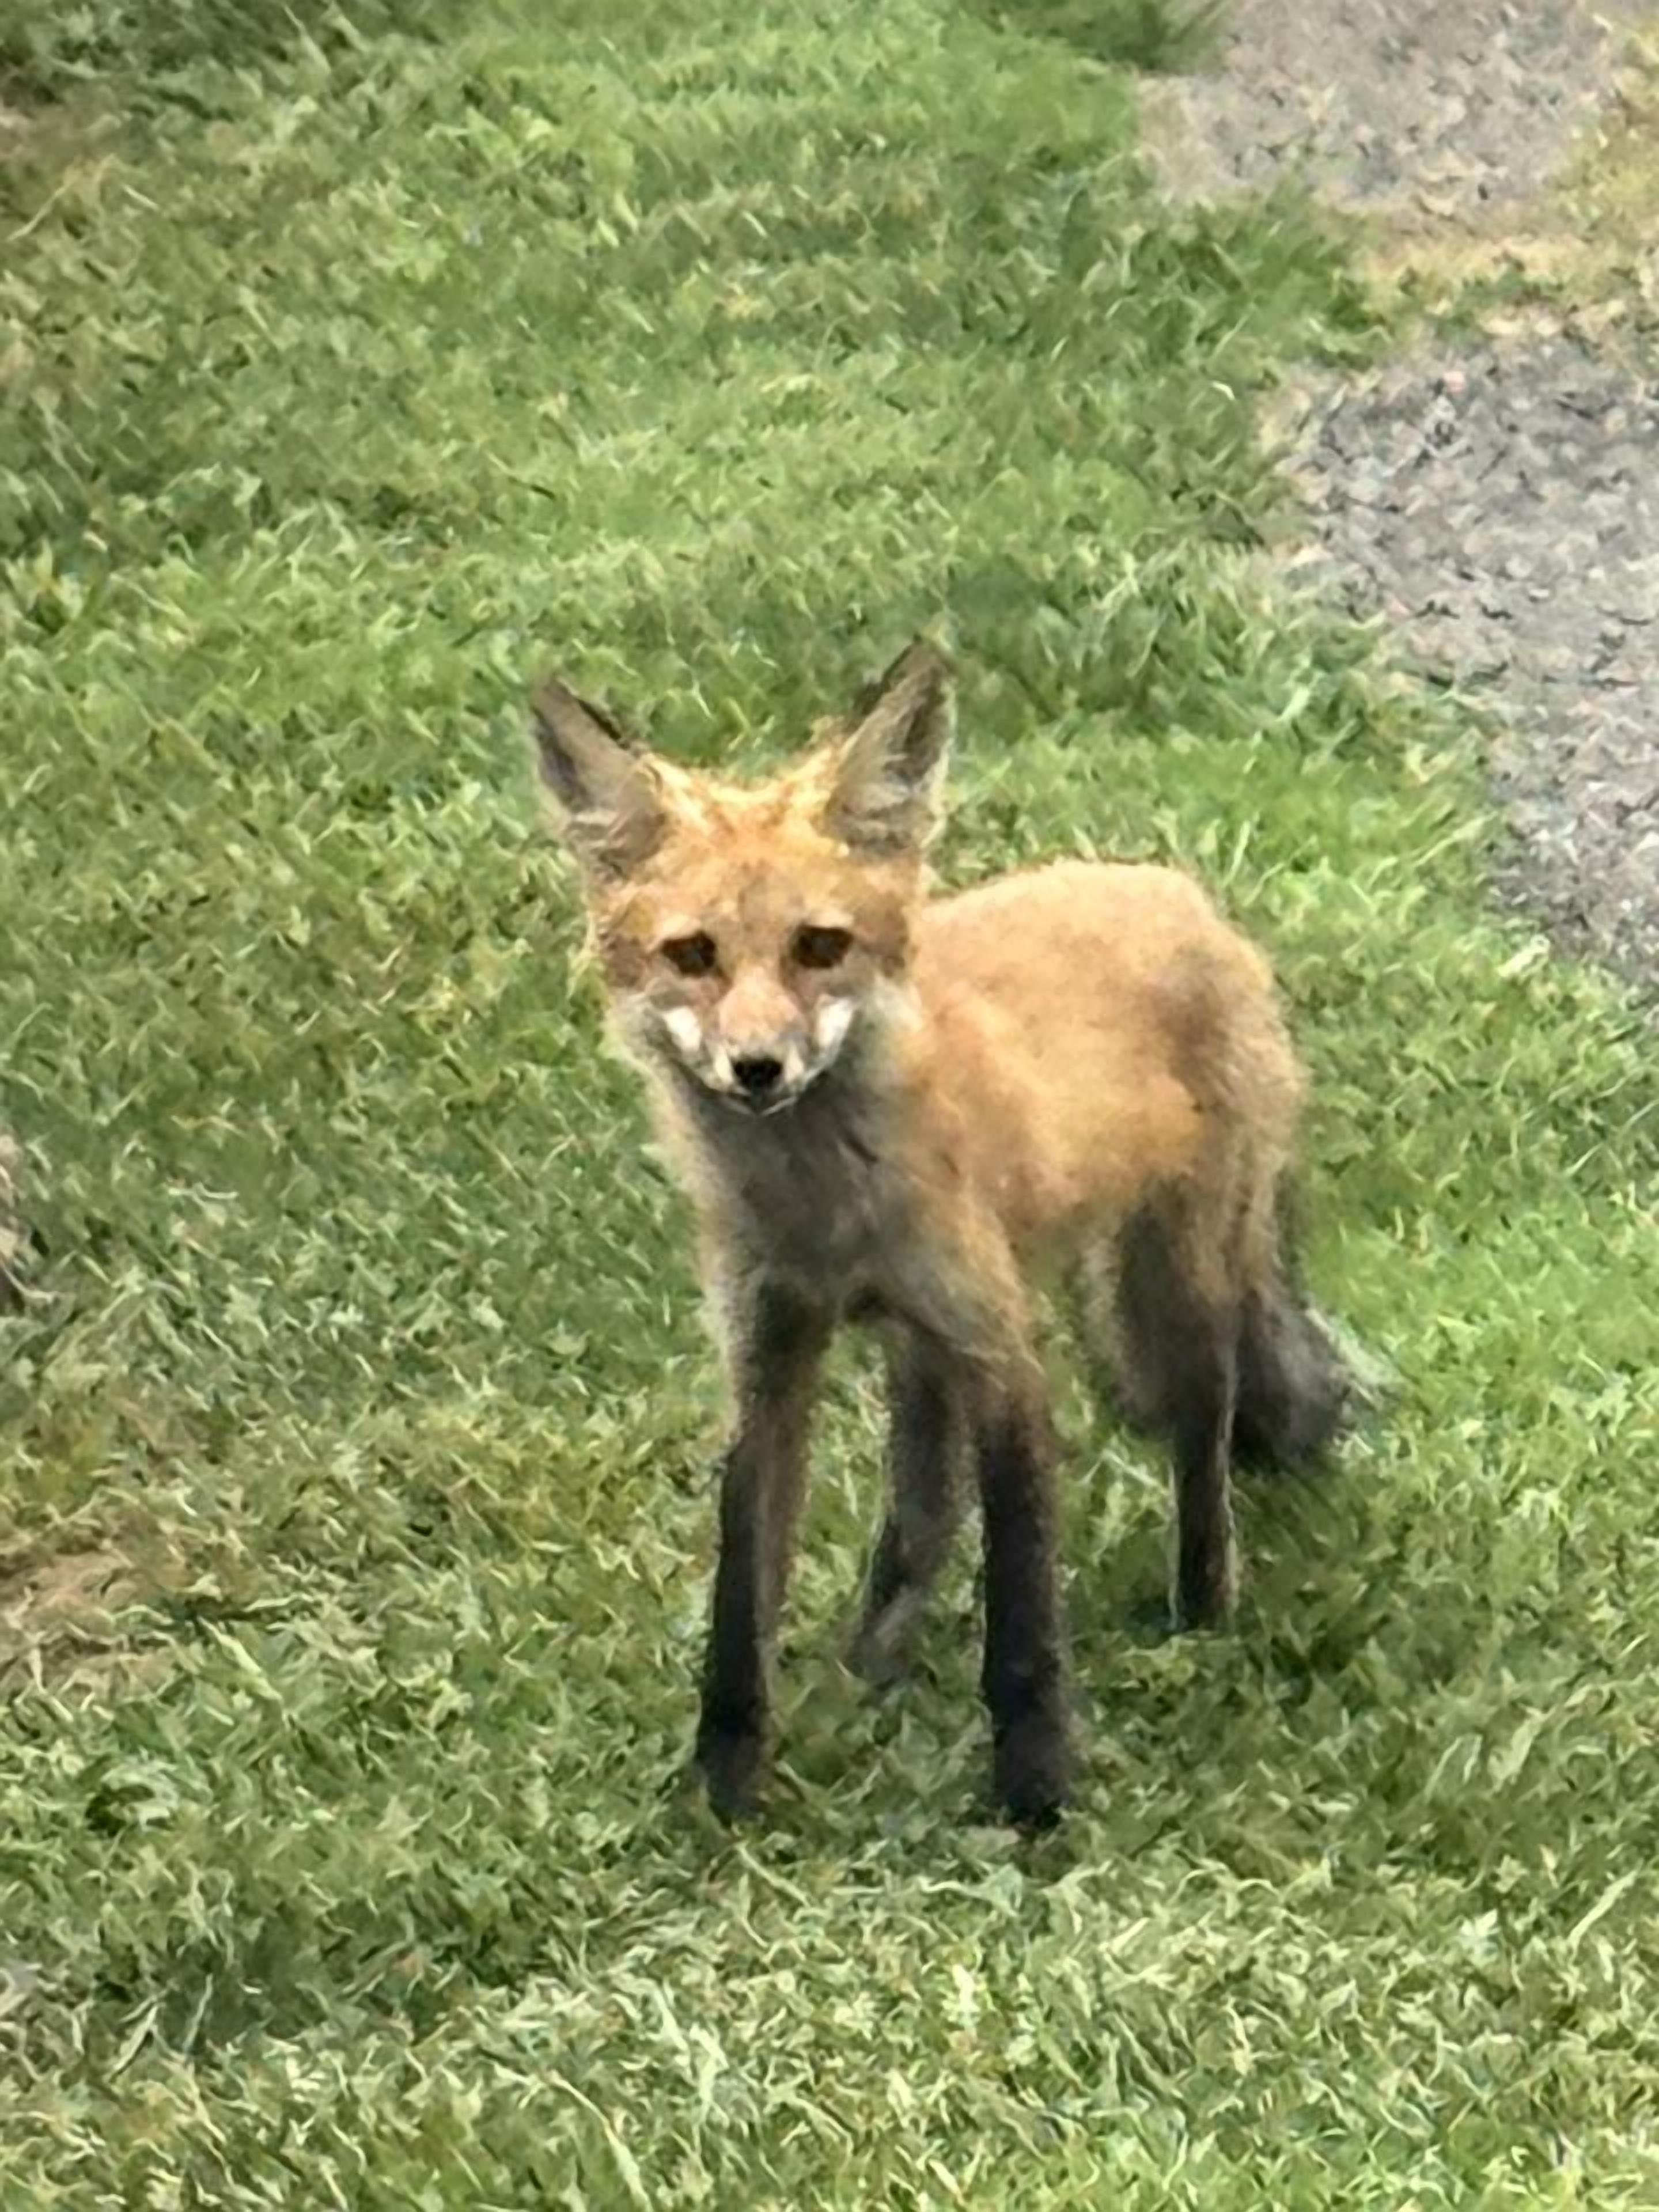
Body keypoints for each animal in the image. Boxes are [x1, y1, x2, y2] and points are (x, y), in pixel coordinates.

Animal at [531, 641, 1348, 1828]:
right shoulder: (769, 1356)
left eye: (820, 946)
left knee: (1206, 1435)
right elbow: (742, 1599)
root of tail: (1184, 893)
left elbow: (1021, 1610)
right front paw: (725, 1792)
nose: (758, 1068)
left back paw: (1200, 1616)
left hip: (1179, 1283)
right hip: (920, 1351)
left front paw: (1036, 1799)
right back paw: (864, 1672)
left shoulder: (999, 1347)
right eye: (692, 956)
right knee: (919, 1520)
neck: (825, 1214)